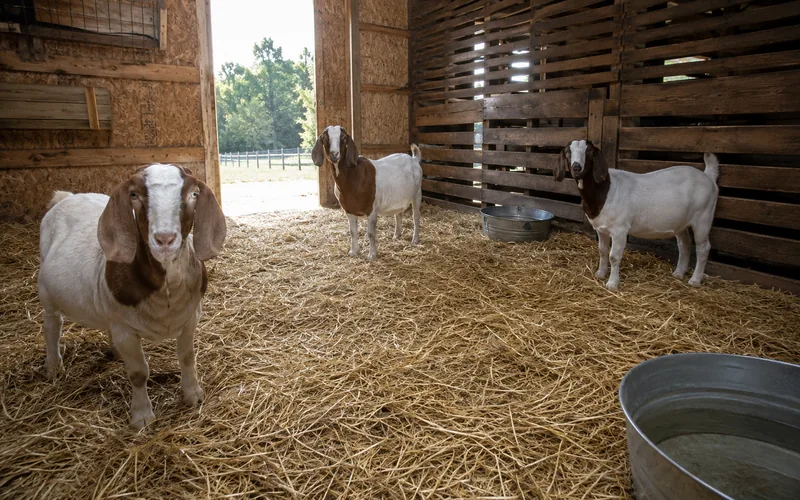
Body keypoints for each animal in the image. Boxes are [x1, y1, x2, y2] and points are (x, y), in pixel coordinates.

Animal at [38, 164, 227, 429]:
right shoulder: (125, 329)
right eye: (134, 195)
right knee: (52, 326)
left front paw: (193, 395)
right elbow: (138, 373)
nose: (165, 239)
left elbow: (187, 357)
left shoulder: (191, 317)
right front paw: (142, 416)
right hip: (47, 291)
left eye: (194, 194)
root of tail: (67, 197)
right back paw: (54, 367)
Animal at [312, 125, 423, 260]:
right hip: (398, 196)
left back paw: (415, 239)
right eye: (324, 138)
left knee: (416, 216)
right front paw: (353, 251)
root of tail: (414, 159)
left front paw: (372, 255)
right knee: (398, 213)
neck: (354, 176)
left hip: (417, 193)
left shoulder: (371, 209)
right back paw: (396, 235)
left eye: (343, 138)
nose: (334, 154)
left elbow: (370, 233)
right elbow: (353, 232)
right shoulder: (349, 210)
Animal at [554, 140, 719, 291]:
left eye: (589, 152)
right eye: (568, 152)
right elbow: (602, 250)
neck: (604, 190)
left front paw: (612, 284)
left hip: (703, 218)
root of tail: (708, 177)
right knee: (684, 244)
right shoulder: (601, 229)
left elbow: (614, 256)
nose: (576, 167)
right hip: (681, 223)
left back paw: (695, 280)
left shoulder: (620, 229)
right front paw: (600, 274)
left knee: (703, 248)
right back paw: (678, 273)